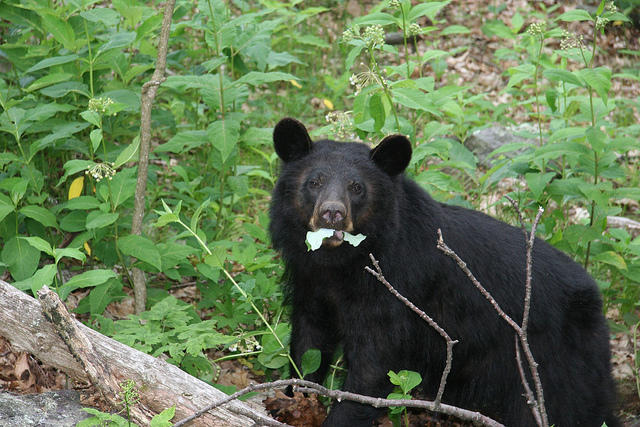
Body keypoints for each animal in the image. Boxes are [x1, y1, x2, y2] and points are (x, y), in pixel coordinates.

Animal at [268, 118, 620, 427]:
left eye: (357, 188)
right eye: (313, 182)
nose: (332, 213)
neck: (341, 265)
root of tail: (595, 302)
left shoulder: (395, 292)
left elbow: (372, 368)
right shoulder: (310, 284)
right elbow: (308, 347)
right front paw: (294, 399)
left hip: (555, 364)